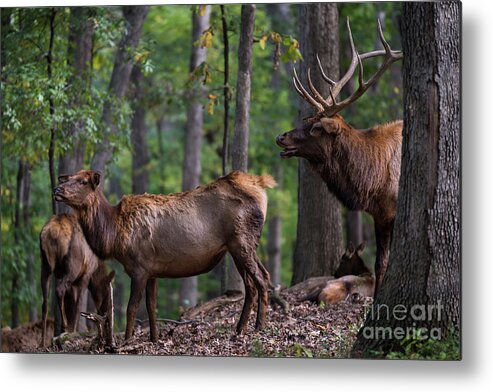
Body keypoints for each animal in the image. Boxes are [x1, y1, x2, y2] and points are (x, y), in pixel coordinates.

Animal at [39, 214, 114, 350]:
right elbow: (78, 305)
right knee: (59, 290)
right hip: (73, 265)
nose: (104, 313)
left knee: (45, 301)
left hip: (45, 263)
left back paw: (42, 342)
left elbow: (72, 303)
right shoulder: (85, 274)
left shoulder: (72, 282)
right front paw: (74, 330)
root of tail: (53, 232)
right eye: (106, 294)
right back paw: (64, 327)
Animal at [54, 170, 276, 342]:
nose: (57, 190)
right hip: (237, 247)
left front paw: (127, 340)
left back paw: (259, 326)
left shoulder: (139, 267)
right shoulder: (152, 270)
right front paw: (154, 338)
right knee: (251, 284)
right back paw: (239, 328)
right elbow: (152, 306)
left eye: (83, 181)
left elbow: (132, 307)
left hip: (242, 241)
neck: (114, 235)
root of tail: (261, 186)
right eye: (68, 177)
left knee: (262, 277)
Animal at [274, 18, 402, 294]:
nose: (281, 137)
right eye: (306, 119)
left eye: (316, 127)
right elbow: (381, 263)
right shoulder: (379, 212)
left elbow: (382, 263)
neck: (371, 180)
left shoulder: (389, 211)